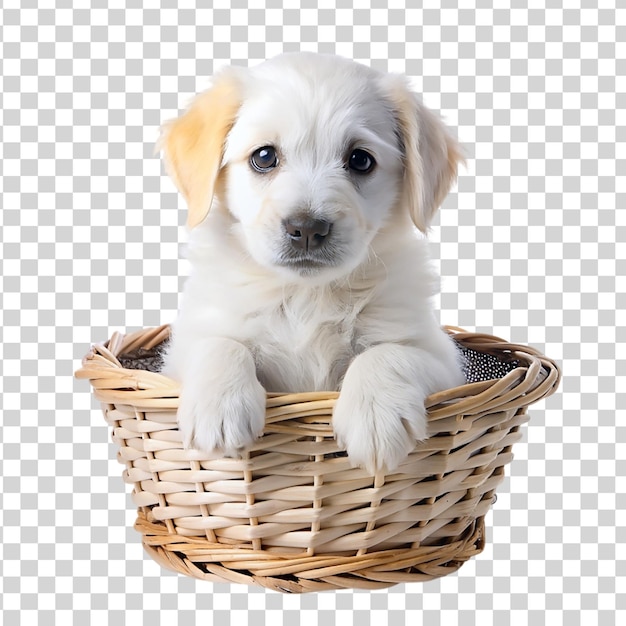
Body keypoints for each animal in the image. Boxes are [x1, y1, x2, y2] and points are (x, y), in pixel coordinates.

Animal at [160, 53, 464, 472]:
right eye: (264, 156)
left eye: (360, 160)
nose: (306, 228)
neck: (306, 295)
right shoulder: (183, 347)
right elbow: (220, 343)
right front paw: (218, 407)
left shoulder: (442, 358)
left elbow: (388, 352)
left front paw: (375, 415)